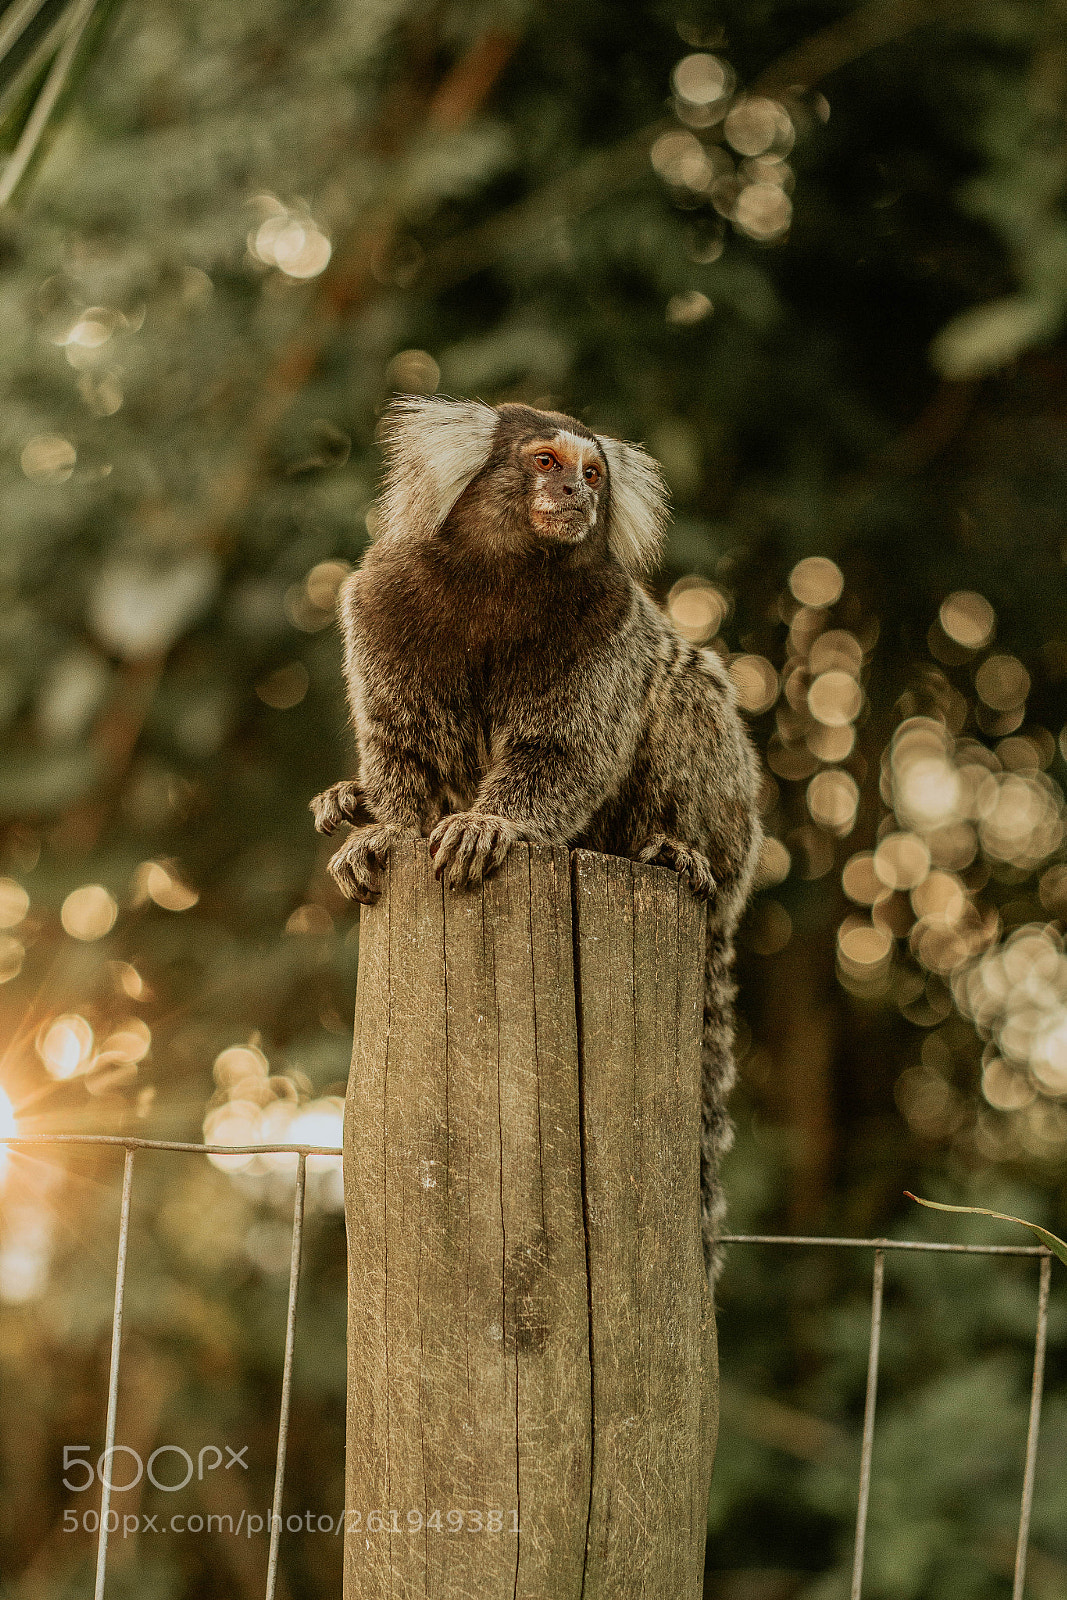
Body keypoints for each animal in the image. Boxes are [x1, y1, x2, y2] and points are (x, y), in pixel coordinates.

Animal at [311, 395, 761, 1280]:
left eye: (593, 473)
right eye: (546, 463)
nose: (578, 495)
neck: (501, 577)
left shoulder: (605, 623)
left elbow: (562, 750)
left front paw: (491, 823)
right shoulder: (381, 600)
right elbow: (404, 751)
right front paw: (382, 834)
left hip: (727, 831)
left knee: (685, 687)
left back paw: (674, 850)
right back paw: (347, 801)